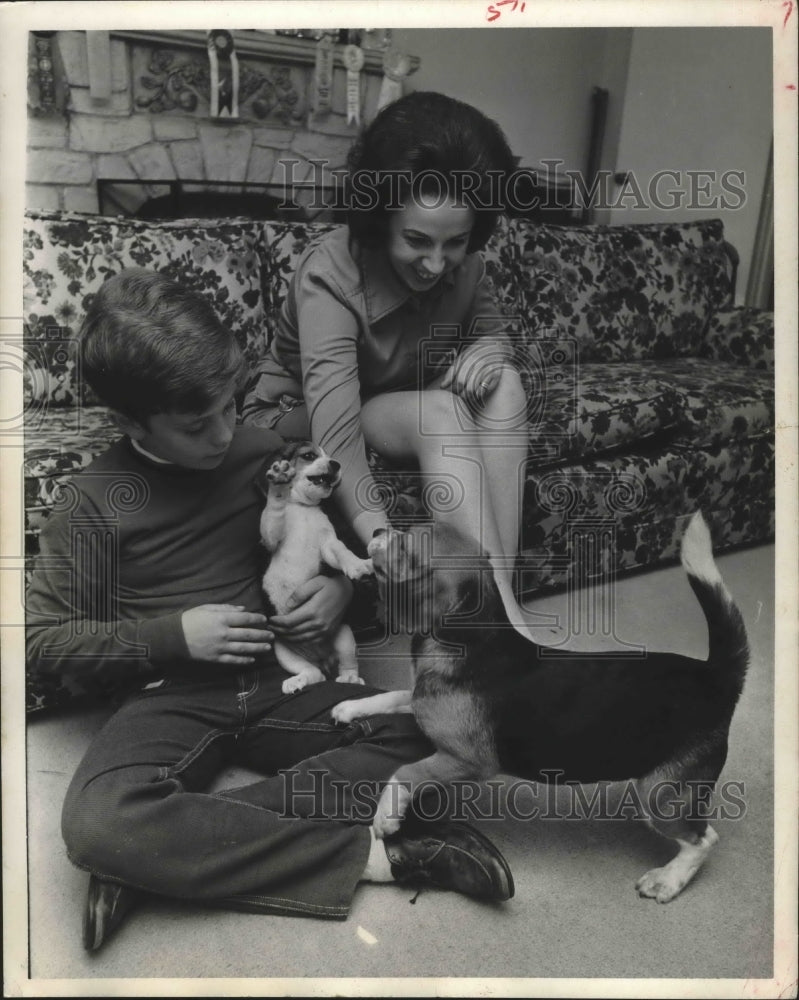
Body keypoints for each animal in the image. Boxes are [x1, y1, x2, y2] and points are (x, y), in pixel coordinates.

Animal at [260, 442, 376, 692]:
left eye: (329, 455)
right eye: (309, 455)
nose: (336, 464)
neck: (302, 507)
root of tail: (322, 658)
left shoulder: (328, 544)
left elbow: (341, 551)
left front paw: (357, 564)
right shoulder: (269, 539)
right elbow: (273, 513)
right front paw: (279, 485)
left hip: (344, 635)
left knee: (346, 665)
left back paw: (350, 679)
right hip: (283, 650)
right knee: (315, 674)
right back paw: (298, 680)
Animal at [332, 512, 752, 904]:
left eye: (407, 547)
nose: (376, 532)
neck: (474, 637)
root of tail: (715, 674)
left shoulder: (468, 760)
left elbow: (406, 771)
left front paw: (385, 816)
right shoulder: (423, 704)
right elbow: (393, 696)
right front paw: (349, 707)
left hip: (660, 793)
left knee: (704, 838)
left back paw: (668, 880)